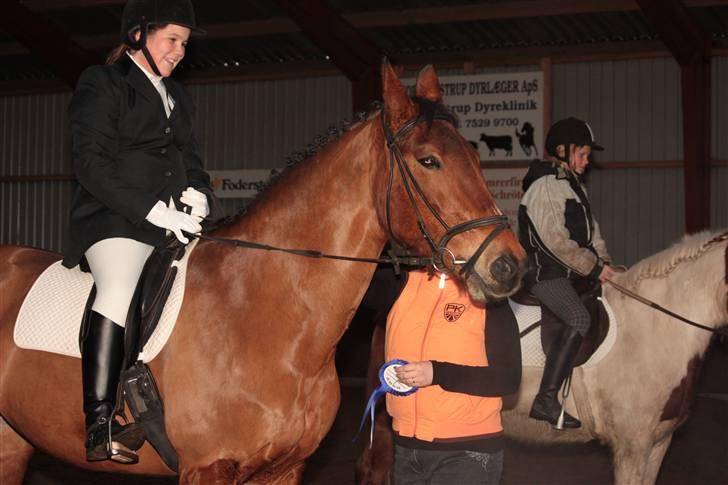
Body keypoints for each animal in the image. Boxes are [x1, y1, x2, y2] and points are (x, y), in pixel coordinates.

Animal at [0, 61, 528, 484]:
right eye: (429, 160)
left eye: (476, 157)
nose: (508, 265)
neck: (263, 315)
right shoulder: (207, 469)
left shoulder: (284, 468)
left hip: (12, 443)